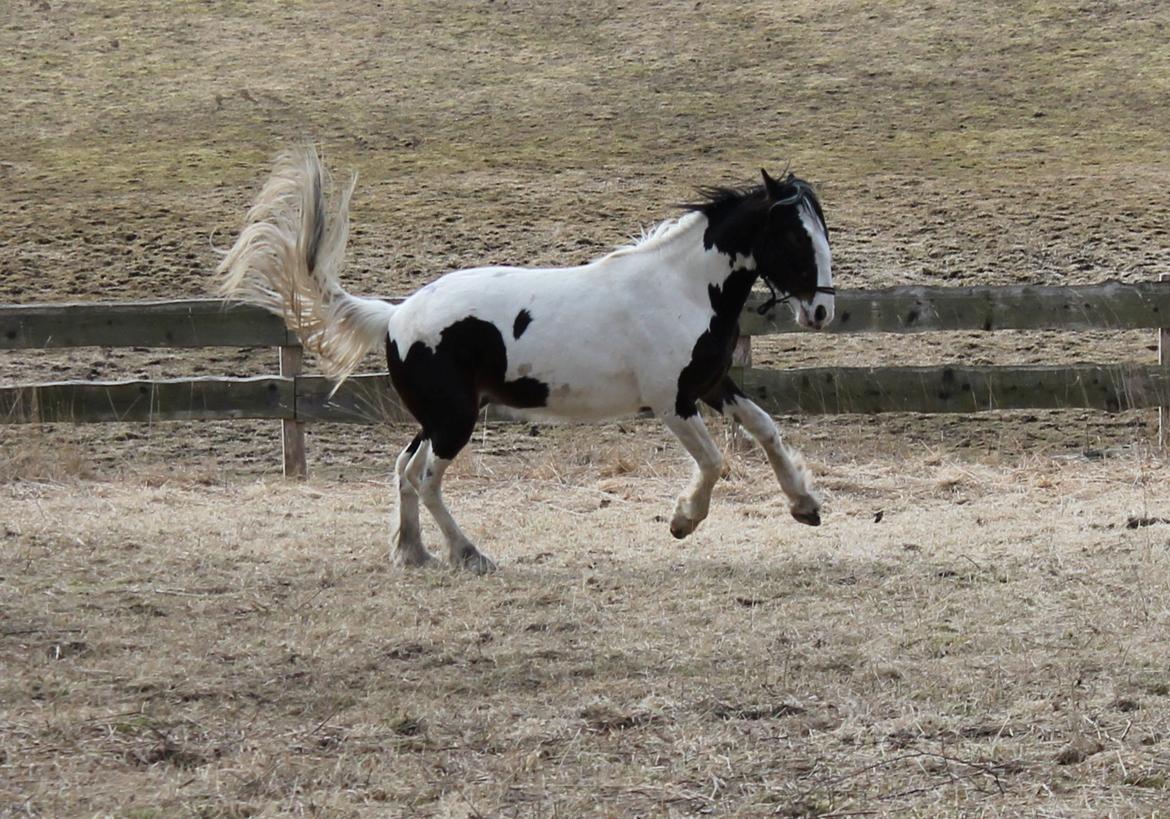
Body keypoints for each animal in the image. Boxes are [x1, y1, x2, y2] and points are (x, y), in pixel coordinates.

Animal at [217, 147, 833, 573]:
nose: (822, 310)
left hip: (438, 417)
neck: (680, 289)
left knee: (402, 468)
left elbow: (767, 430)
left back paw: (414, 553)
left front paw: (805, 505)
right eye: (794, 238)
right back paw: (469, 555)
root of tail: (395, 316)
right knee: (425, 478)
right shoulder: (672, 402)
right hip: (455, 421)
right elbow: (712, 462)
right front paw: (684, 521)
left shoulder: (711, 383)